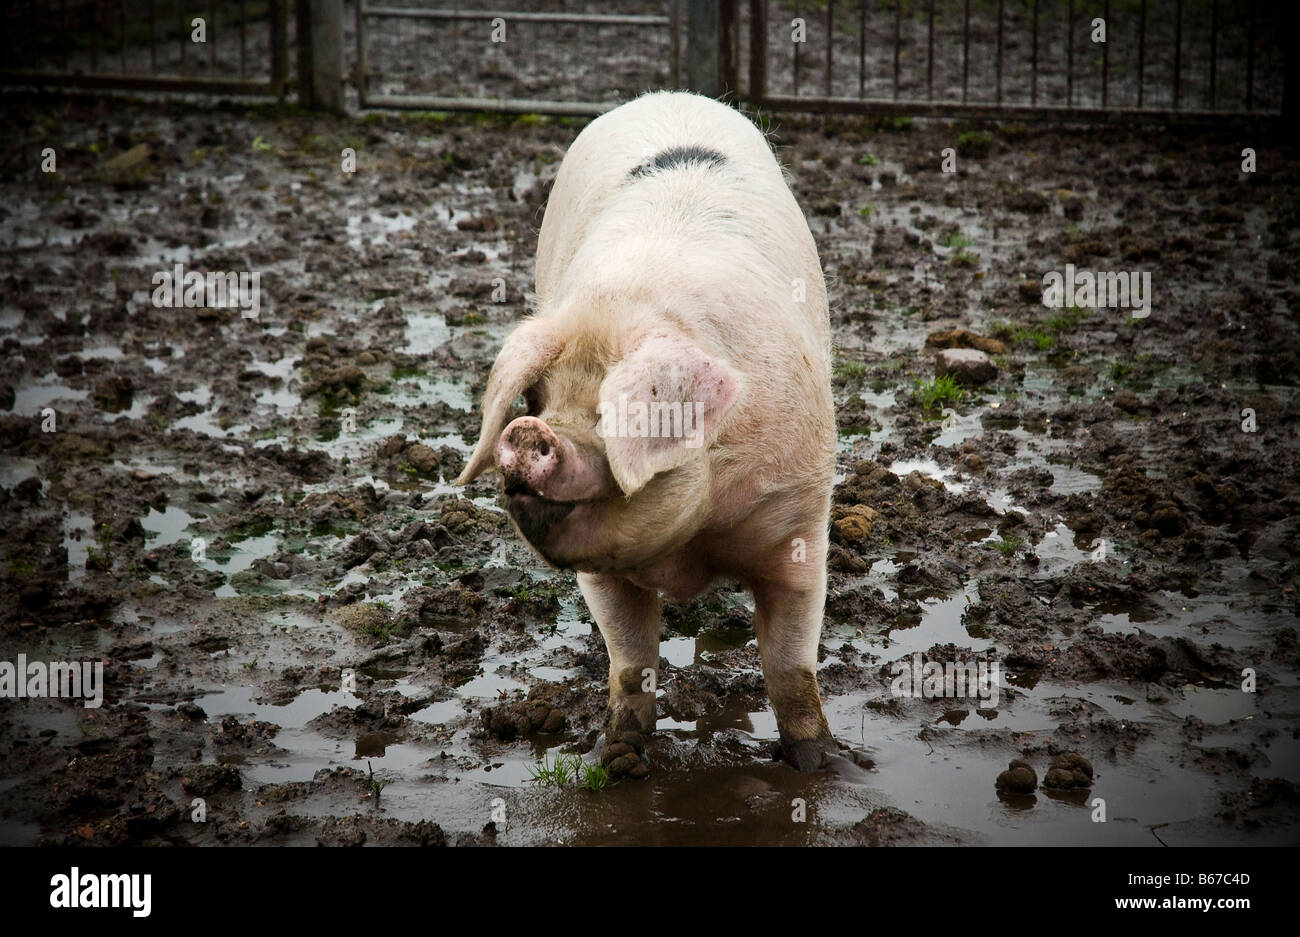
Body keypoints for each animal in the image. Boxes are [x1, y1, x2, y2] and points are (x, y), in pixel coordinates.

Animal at [452, 89, 857, 774]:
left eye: (610, 412)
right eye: (536, 398)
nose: (529, 431)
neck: (695, 538)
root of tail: (669, 97)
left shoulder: (800, 521)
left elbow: (790, 667)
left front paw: (822, 764)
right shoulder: (602, 574)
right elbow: (630, 660)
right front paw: (616, 758)